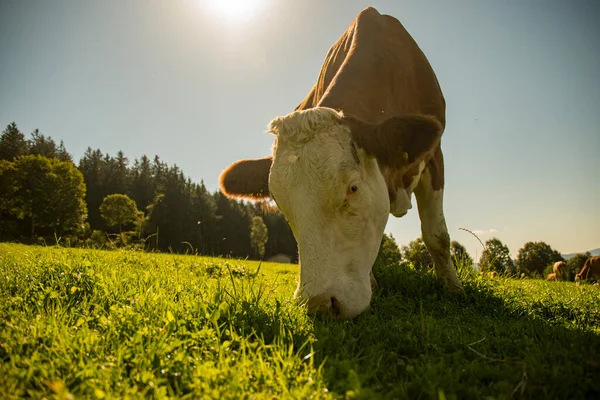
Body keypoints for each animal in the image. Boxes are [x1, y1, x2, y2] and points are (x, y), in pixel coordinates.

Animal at [218, 6, 462, 318]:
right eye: (281, 204)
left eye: (352, 189)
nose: (320, 304)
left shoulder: (434, 154)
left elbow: (436, 235)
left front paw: (454, 288)